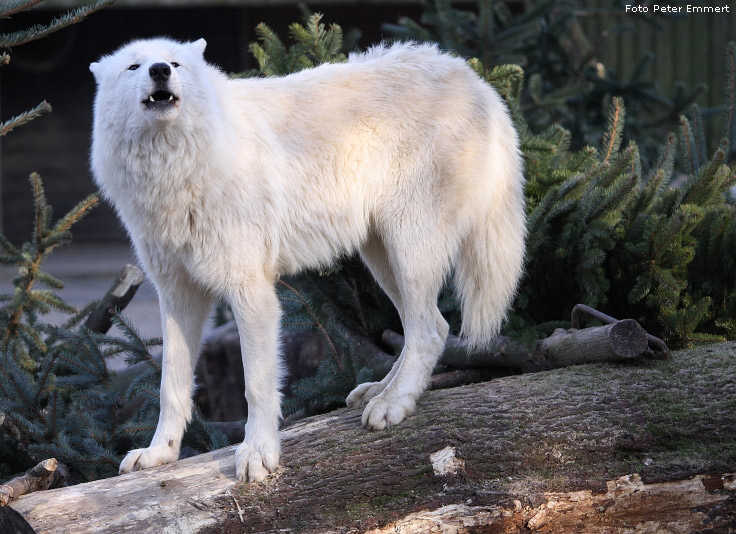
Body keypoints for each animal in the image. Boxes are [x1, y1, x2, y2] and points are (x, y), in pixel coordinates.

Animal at [89, 36, 528, 482]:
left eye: (175, 64)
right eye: (133, 67)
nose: (160, 71)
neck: (178, 171)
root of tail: (475, 80)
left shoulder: (253, 294)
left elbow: (256, 386)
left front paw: (257, 453)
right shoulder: (177, 296)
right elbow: (170, 387)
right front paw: (159, 453)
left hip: (409, 250)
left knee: (432, 329)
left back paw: (393, 404)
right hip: (381, 257)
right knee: (419, 328)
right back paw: (380, 390)